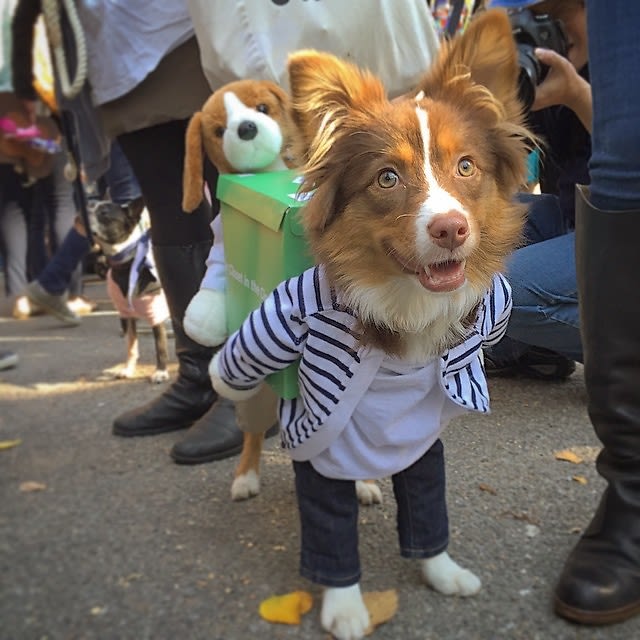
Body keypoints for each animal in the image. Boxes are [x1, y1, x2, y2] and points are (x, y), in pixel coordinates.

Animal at [90, 198, 171, 382]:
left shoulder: (155, 314)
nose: (88, 205)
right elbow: (131, 344)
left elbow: (160, 346)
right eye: (92, 205)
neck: (126, 265)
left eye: (104, 213)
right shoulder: (128, 314)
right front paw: (128, 369)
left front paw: (160, 372)